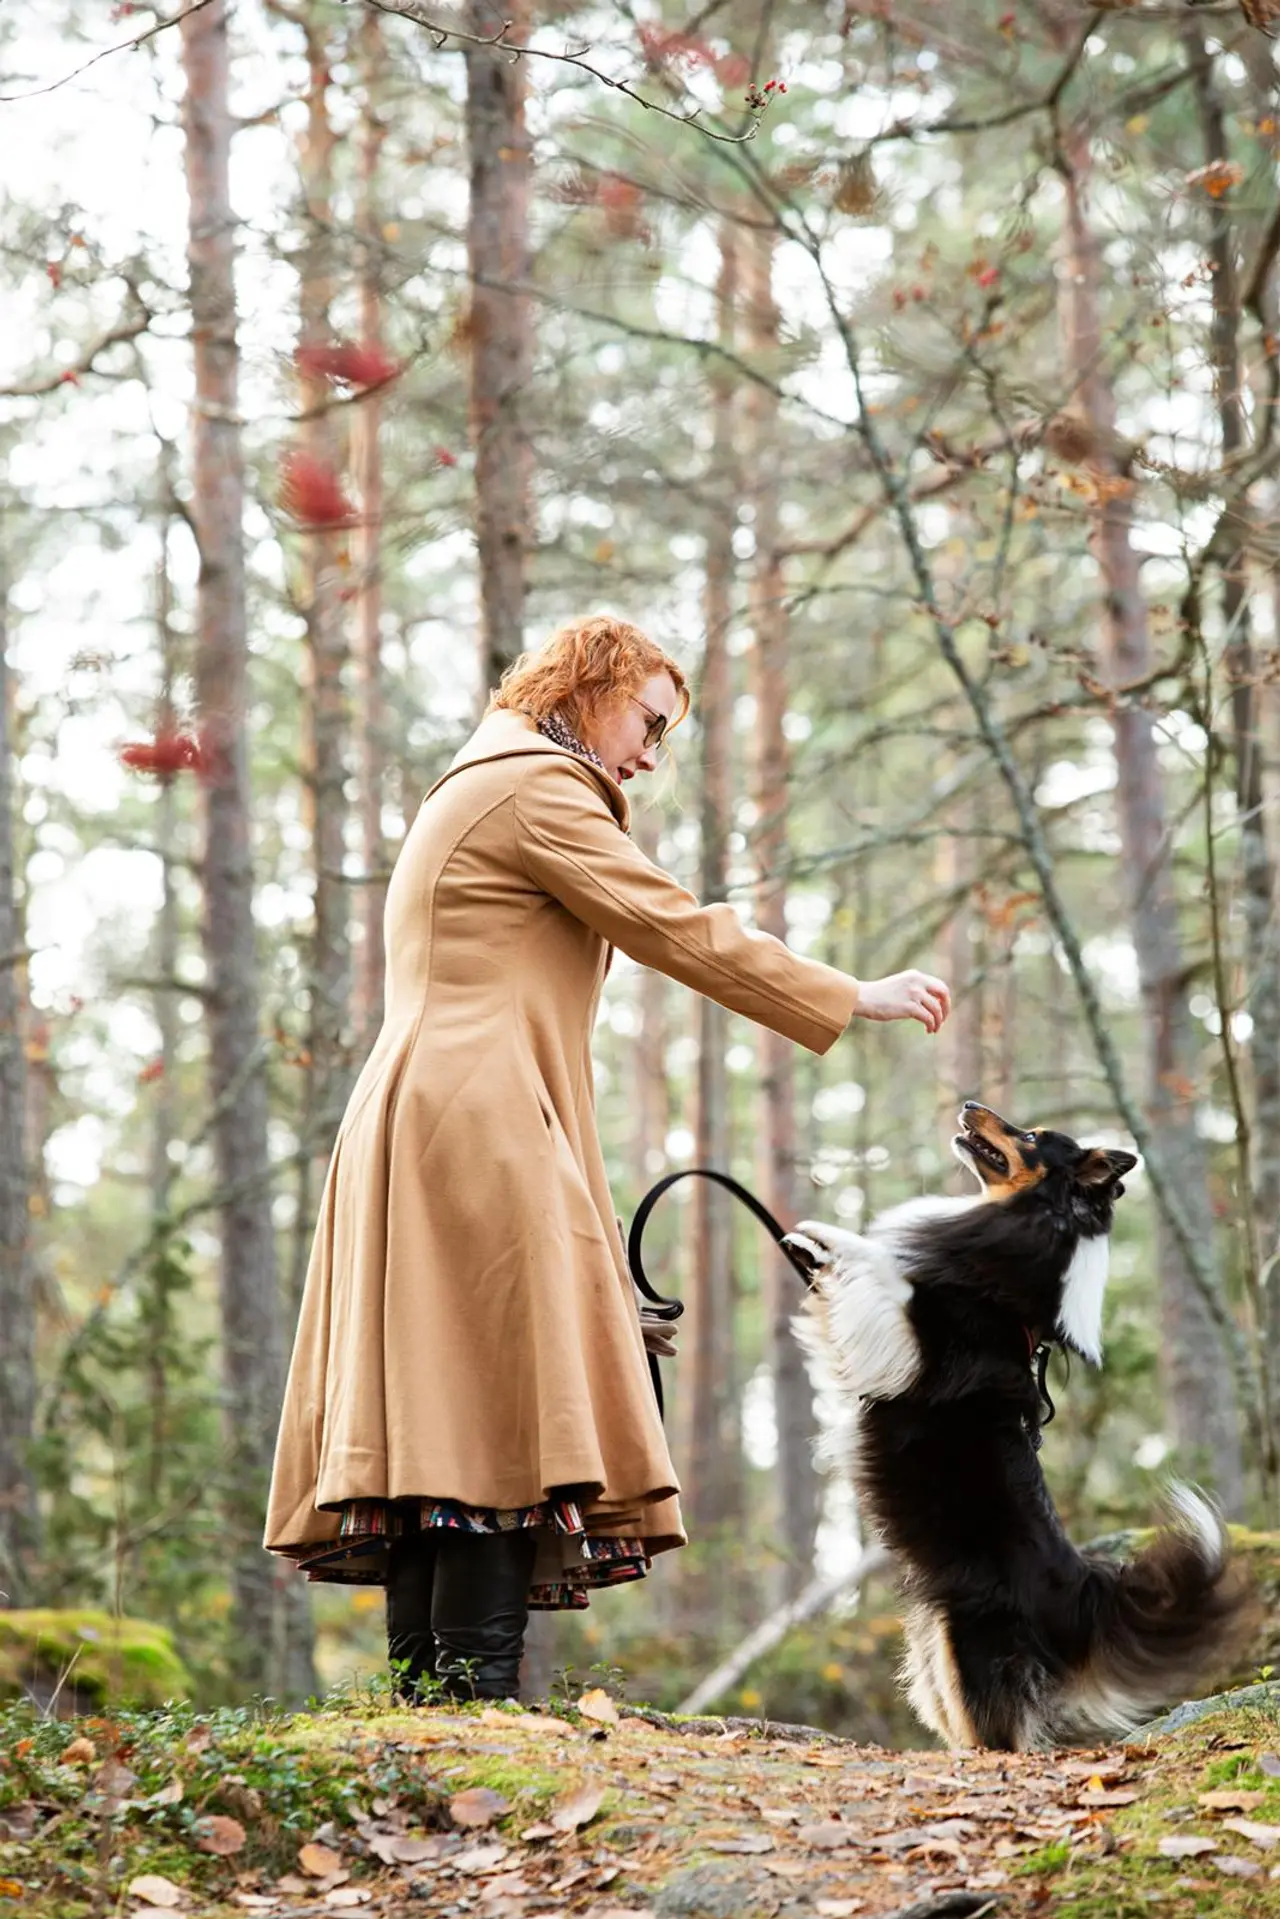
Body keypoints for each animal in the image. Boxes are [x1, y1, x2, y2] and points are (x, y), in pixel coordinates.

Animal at [786, 1105, 1258, 1750]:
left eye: (1032, 1136)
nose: (968, 1105)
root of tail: (1082, 1592)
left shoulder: (917, 1342)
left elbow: (883, 1277)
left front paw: (826, 1234)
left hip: (972, 1651)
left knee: (1004, 1737)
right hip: (935, 1655)